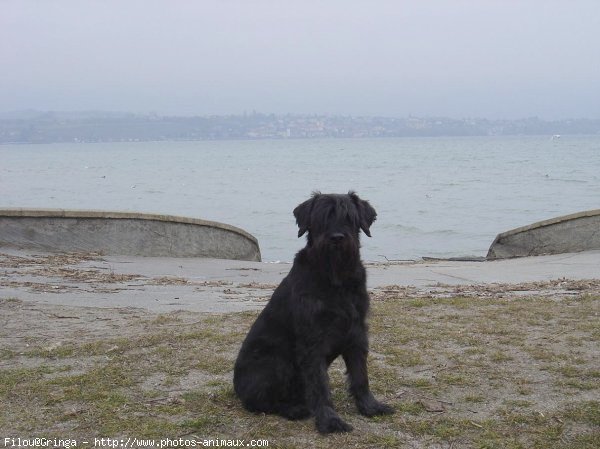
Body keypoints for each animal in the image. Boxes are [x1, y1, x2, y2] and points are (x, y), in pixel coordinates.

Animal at [232, 191, 392, 432]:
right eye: (322, 218)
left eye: (349, 217)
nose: (337, 238)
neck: (335, 280)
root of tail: (236, 386)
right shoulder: (312, 340)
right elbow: (319, 384)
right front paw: (330, 420)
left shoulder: (357, 333)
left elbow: (360, 374)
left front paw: (370, 406)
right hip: (277, 362)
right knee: (259, 402)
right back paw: (294, 409)